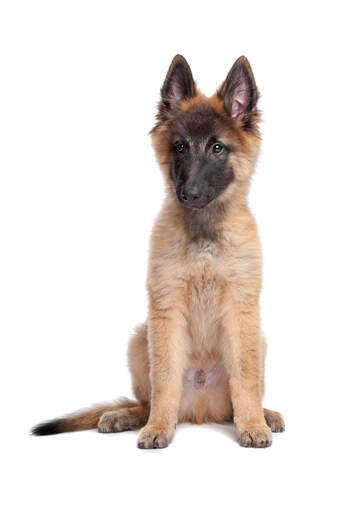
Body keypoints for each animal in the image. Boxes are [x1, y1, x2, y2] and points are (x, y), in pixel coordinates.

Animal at [33, 55, 284, 448]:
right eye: (180, 147)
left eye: (217, 148)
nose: (189, 194)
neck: (203, 233)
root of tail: (200, 412)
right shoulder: (166, 310)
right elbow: (165, 379)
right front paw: (158, 428)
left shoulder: (242, 310)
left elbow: (244, 379)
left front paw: (253, 425)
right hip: (140, 338)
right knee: (147, 400)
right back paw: (128, 416)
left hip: (258, 339)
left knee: (239, 397)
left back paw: (264, 414)